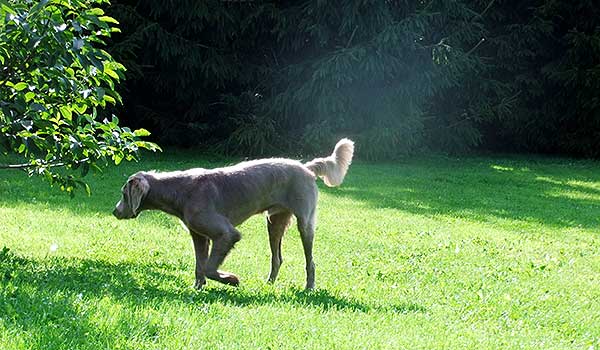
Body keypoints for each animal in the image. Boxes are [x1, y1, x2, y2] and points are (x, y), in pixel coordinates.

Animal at [113, 138, 352, 288]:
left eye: (124, 193)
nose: (115, 211)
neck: (180, 190)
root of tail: (307, 168)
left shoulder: (226, 234)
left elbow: (209, 267)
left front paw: (231, 279)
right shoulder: (199, 236)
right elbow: (199, 266)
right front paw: (197, 288)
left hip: (305, 222)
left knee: (310, 261)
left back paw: (309, 287)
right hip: (274, 222)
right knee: (277, 258)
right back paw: (269, 284)